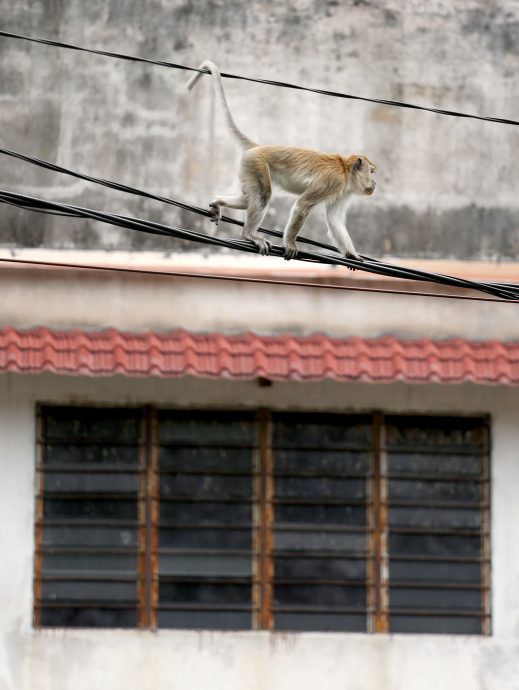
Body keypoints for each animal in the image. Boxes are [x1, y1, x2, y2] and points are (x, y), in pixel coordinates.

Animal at [187, 60, 378, 260]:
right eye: (372, 172)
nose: (375, 183)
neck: (345, 172)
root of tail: (259, 146)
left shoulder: (343, 191)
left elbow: (334, 219)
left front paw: (352, 255)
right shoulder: (332, 181)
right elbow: (302, 206)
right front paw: (290, 243)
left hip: (248, 168)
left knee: (249, 199)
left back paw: (218, 202)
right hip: (257, 164)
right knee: (263, 195)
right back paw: (249, 234)